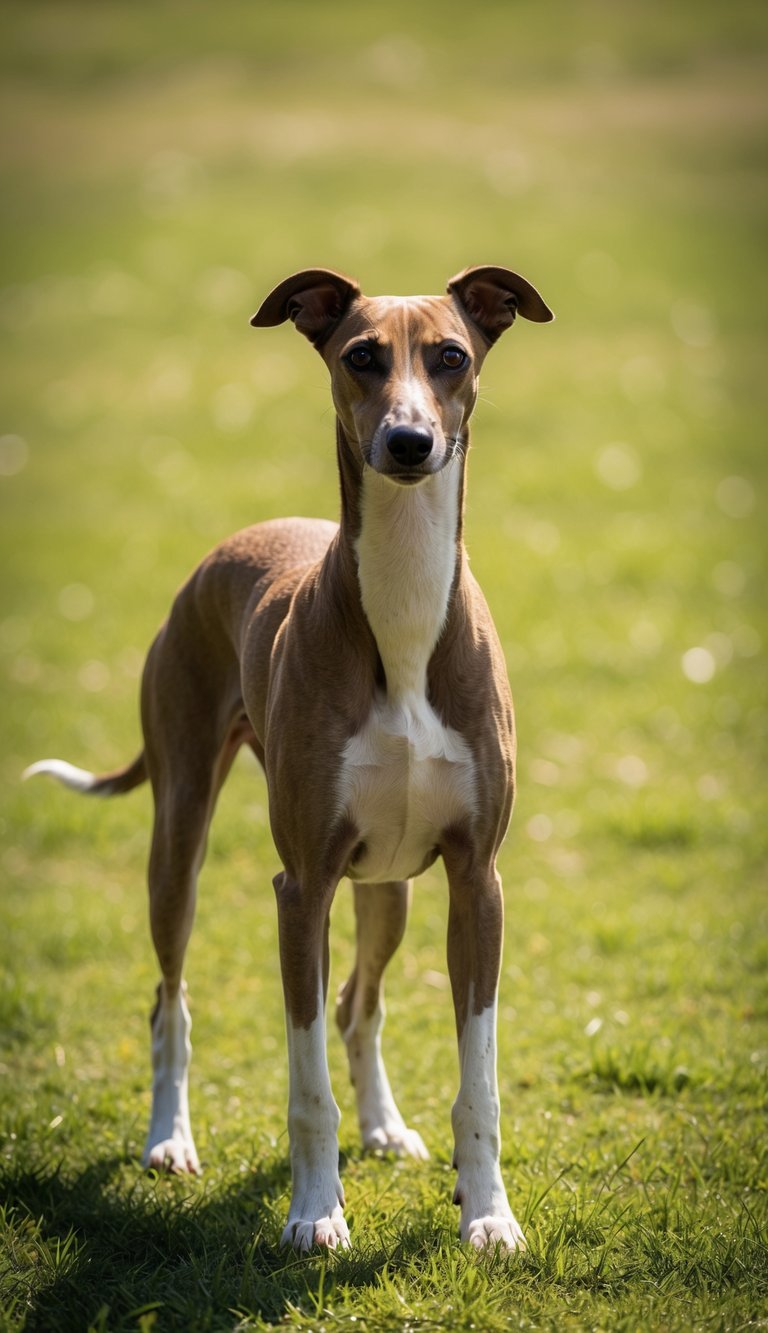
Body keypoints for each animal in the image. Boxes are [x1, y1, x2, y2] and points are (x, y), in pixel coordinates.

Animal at [24, 264, 554, 1251]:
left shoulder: (476, 879)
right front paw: (315, 1213)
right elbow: (306, 1085)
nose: (410, 441)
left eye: (451, 355)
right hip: (180, 840)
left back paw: (384, 1127)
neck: (404, 612)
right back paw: (168, 1140)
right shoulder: (301, 886)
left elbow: (480, 1081)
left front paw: (489, 1215)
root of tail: (234, 543)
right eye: (361, 356)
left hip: (388, 888)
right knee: (169, 999)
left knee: (359, 1001)